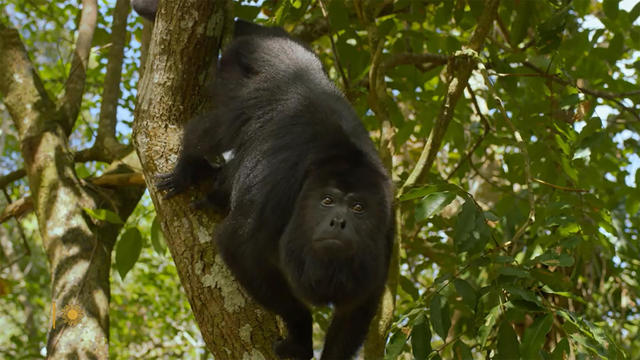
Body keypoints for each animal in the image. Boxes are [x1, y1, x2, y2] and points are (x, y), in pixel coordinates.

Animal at [134, 2, 396, 358]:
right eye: (327, 200)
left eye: (358, 207)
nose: (339, 221)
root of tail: (276, 42)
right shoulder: (279, 191)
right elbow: (238, 246)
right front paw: (300, 332)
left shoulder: (387, 229)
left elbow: (358, 308)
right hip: (240, 78)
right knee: (216, 129)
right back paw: (189, 167)